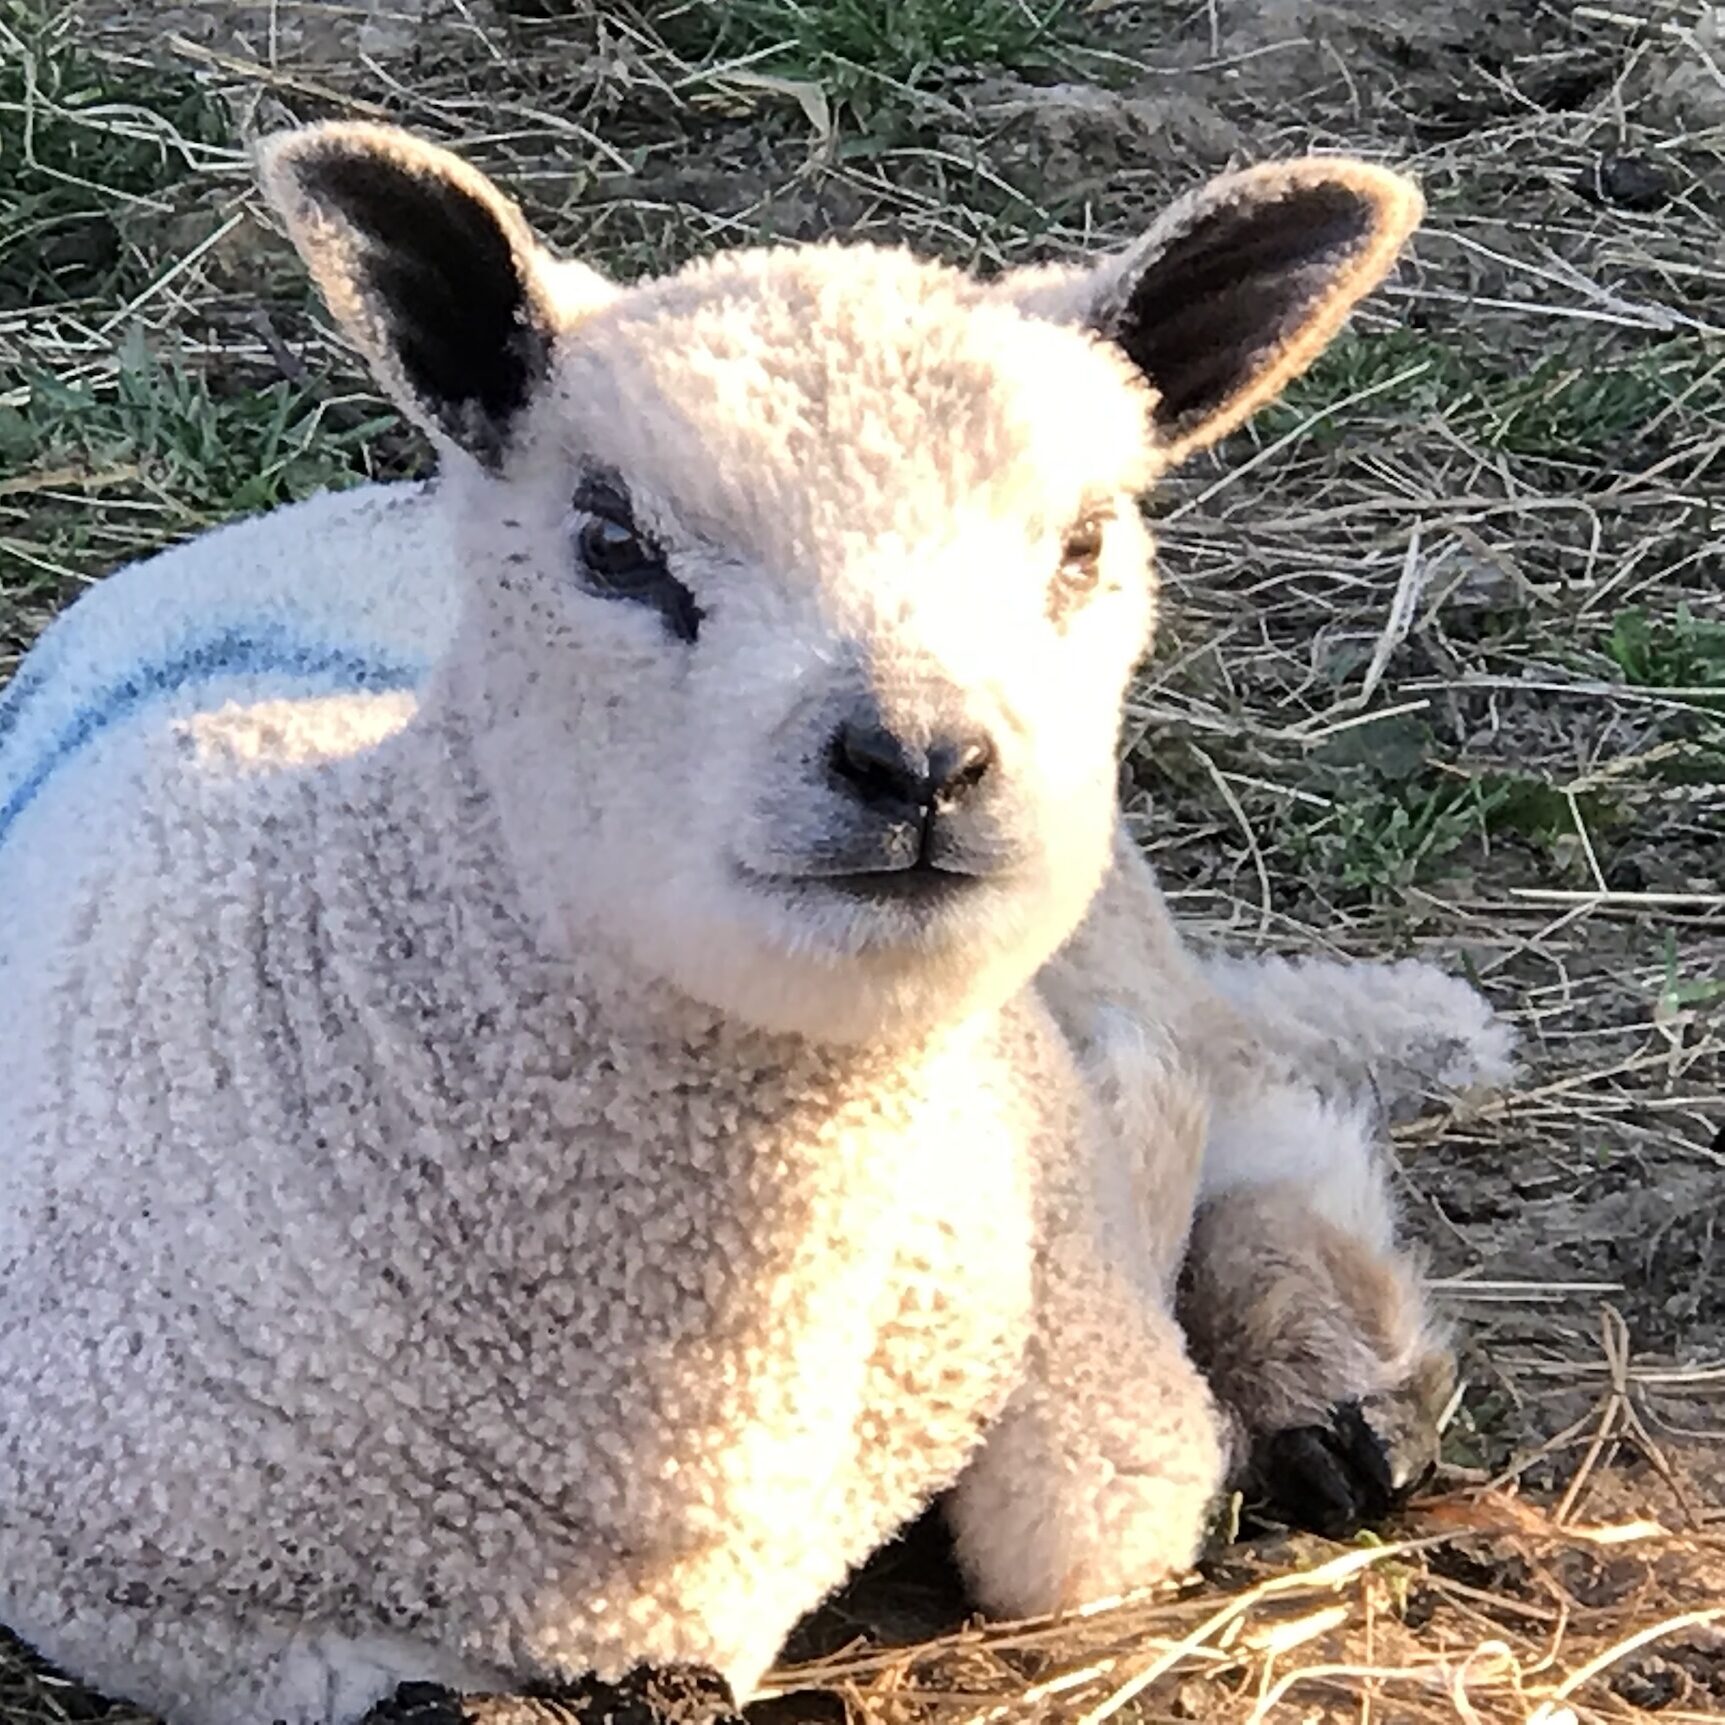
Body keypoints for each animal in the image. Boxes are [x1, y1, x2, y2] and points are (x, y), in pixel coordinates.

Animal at [0, 125, 1511, 1725]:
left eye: (1084, 541)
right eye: (613, 543)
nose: (919, 763)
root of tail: (350, 503)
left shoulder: (1077, 1317)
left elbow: (1083, 1523)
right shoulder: (123, 1581)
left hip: (1104, 891)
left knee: (1237, 1063)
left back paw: (1332, 1372)